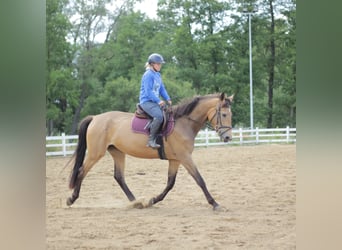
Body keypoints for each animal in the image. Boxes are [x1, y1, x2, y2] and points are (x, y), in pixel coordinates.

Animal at [67, 92, 234, 209]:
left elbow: (170, 183)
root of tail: (95, 118)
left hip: (117, 152)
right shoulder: (185, 157)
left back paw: (136, 202)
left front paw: (153, 200)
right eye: (224, 114)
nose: (227, 137)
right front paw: (214, 203)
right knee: (82, 171)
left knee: (119, 177)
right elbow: (200, 180)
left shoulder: (175, 159)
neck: (183, 123)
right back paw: (71, 198)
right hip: (95, 153)